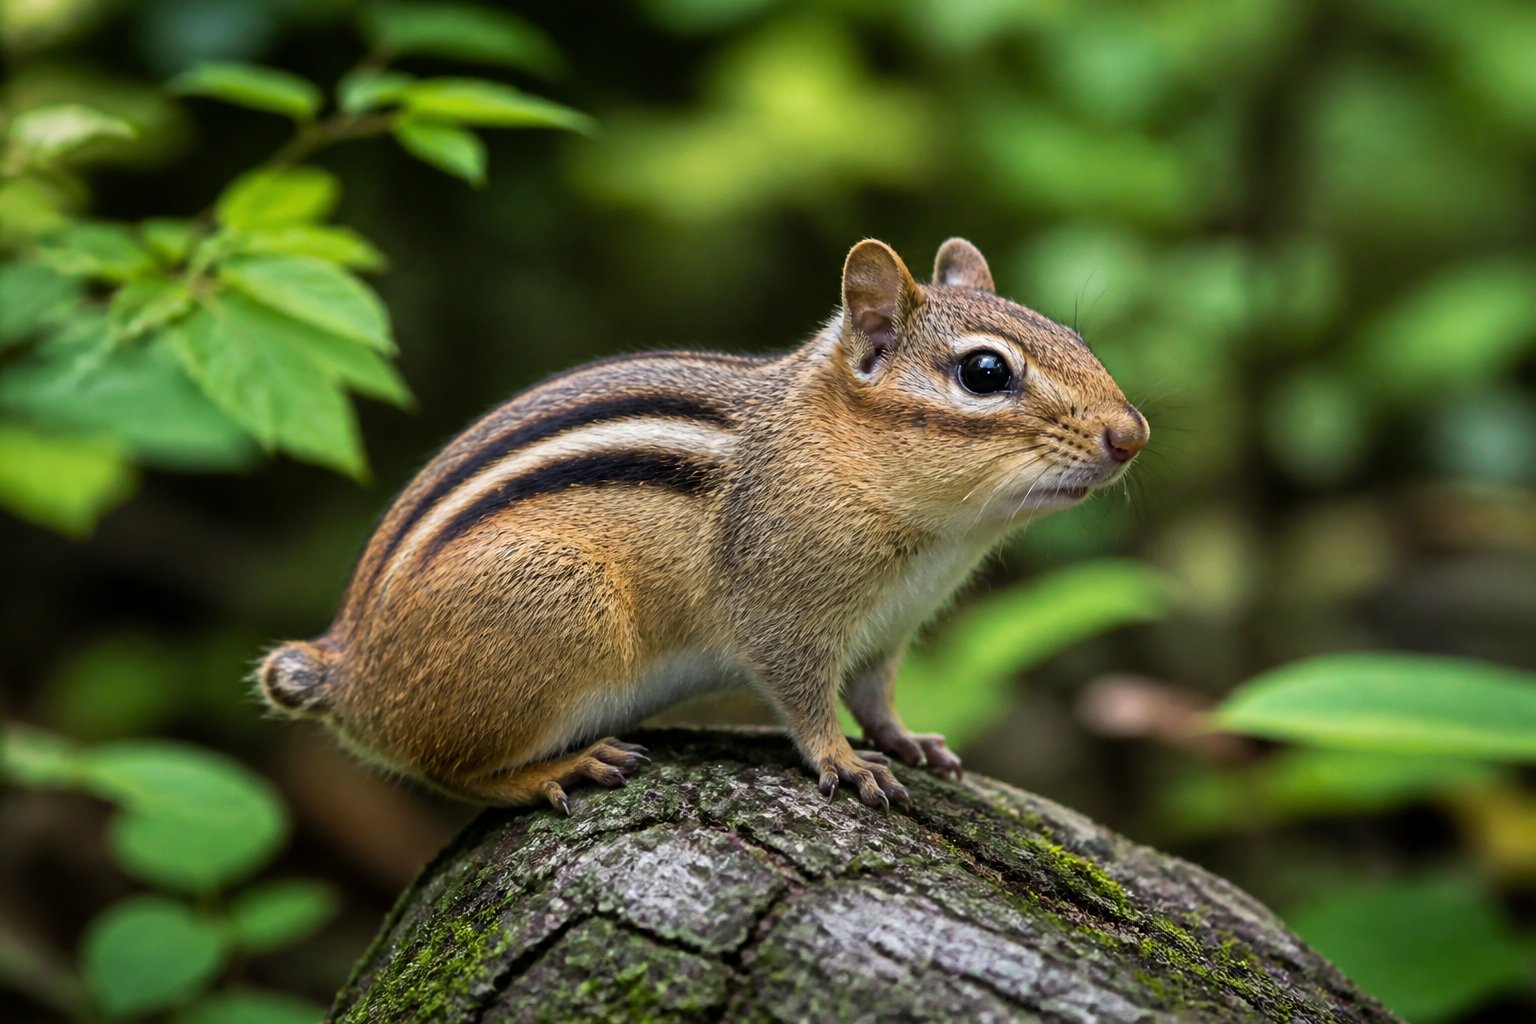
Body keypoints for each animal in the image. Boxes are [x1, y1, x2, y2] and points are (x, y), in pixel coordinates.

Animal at [257, 238, 1148, 813]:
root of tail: (348, 673)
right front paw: (844, 761)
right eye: (985, 372)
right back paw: (556, 771)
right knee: (449, 770)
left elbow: (876, 695)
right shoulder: (781, 612)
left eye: (1076, 338)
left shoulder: (888, 631)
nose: (1132, 434)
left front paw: (907, 740)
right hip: (559, 607)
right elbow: (805, 699)